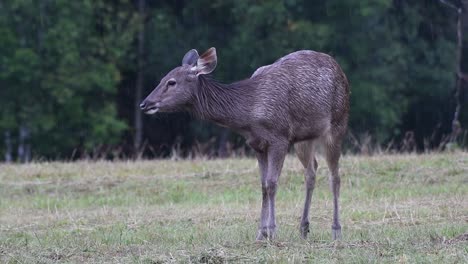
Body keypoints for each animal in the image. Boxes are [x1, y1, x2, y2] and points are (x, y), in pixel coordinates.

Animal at [141, 47, 350, 239]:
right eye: (162, 78)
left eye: (171, 82)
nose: (145, 103)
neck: (248, 118)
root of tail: (340, 70)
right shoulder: (257, 144)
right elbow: (263, 185)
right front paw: (261, 233)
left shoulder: (280, 138)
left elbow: (272, 183)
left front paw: (272, 231)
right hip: (305, 138)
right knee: (311, 171)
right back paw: (304, 228)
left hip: (338, 123)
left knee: (335, 176)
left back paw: (336, 230)